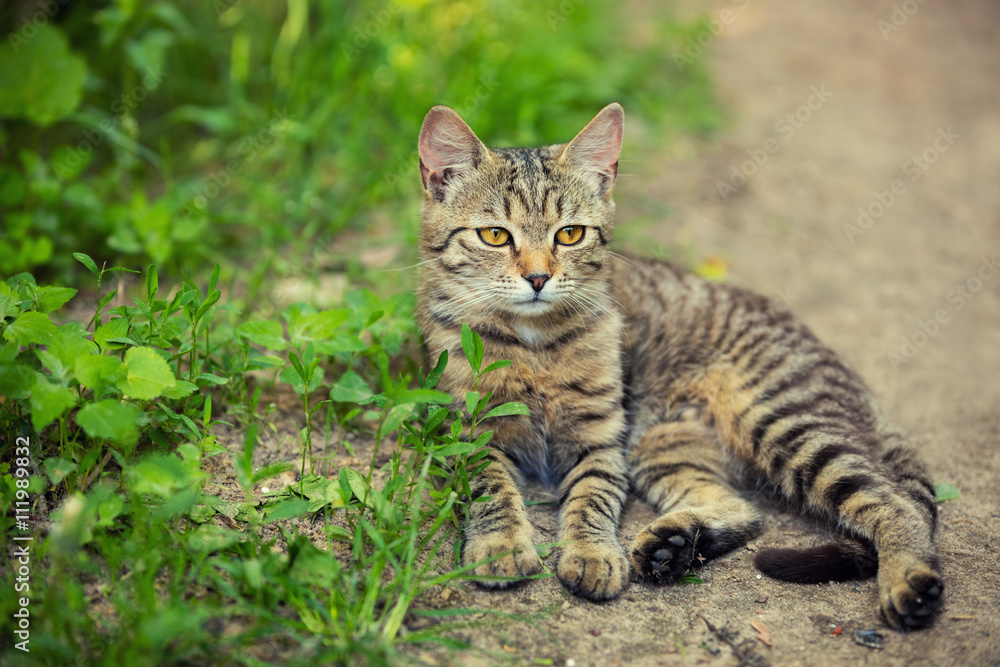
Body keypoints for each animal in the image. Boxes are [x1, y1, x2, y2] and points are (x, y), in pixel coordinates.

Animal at [414, 102, 944, 628]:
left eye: (570, 234)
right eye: (494, 235)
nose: (539, 277)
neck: (534, 343)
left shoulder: (601, 440)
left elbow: (591, 498)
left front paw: (591, 553)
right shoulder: (469, 435)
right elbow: (493, 492)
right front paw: (500, 545)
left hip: (783, 421)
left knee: (895, 504)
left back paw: (909, 579)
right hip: (664, 444)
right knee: (743, 510)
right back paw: (671, 547)